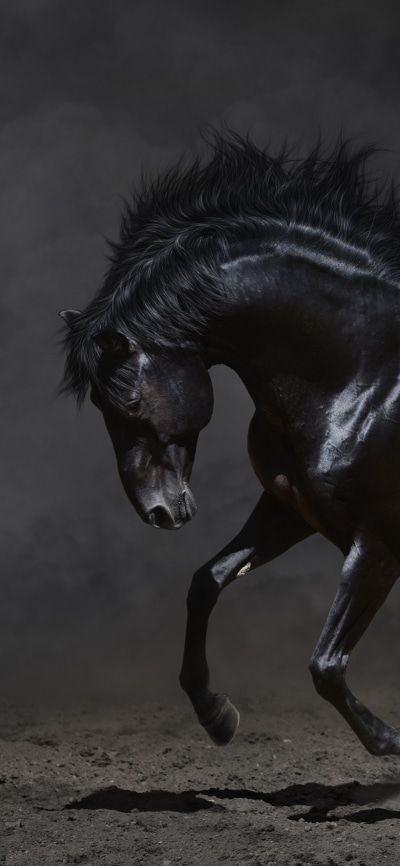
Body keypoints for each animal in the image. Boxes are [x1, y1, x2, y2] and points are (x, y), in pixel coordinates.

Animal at [60, 133, 400, 756]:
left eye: (129, 403)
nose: (157, 512)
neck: (369, 376)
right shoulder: (291, 510)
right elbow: (207, 582)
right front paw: (215, 713)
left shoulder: (379, 540)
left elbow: (326, 664)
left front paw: (388, 741)